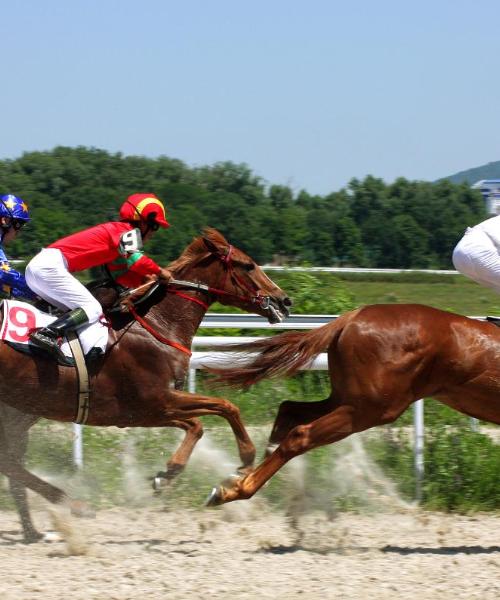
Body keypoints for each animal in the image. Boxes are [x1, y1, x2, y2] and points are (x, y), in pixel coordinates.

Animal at [0, 226, 292, 540]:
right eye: (248, 265)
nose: (284, 301)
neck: (157, 324)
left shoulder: (151, 409)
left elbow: (212, 414)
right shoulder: (152, 404)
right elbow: (213, 414)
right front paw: (178, 472)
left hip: (20, 411)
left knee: (10, 462)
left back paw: (41, 526)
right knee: (10, 462)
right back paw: (73, 505)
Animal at [206, 302, 500, 504]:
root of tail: (350, 317)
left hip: (347, 399)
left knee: (290, 408)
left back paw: (248, 475)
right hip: (371, 409)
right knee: (301, 434)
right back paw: (236, 489)